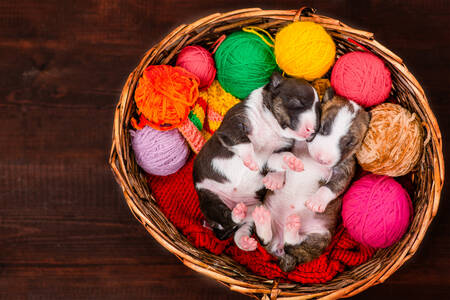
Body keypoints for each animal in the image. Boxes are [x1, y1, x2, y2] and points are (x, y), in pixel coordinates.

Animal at [193, 71, 320, 250]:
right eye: (297, 102)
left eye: (318, 111)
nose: (313, 130)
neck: (271, 128)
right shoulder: (233, 125)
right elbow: (244, 142)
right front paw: (250, 160)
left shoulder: (278, 150)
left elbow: (277, 159)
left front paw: (287, 166)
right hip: (208, 198)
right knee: (226, 219)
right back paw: (236, 214)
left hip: (253, 212)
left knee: (240, 229)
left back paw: (246, 241)